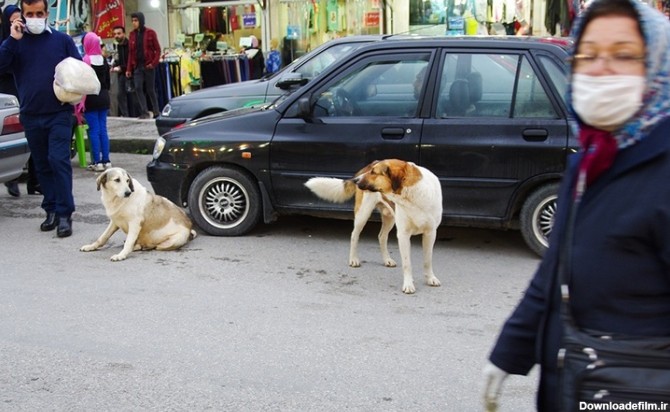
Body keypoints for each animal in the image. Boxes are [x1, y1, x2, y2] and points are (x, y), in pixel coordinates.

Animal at [306, 158, 444, 292]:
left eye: (374, 172)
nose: (355, 180)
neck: (412, 196)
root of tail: (373, 161)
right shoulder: (403, 235)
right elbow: (407, 264)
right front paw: (408, 284)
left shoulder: (431, 233)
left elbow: (427, 260)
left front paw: (430, 278)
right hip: (363, 214)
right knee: (354, 235)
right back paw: (353, 259)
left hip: (389, 217)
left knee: (382, 236)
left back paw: (386, 259)